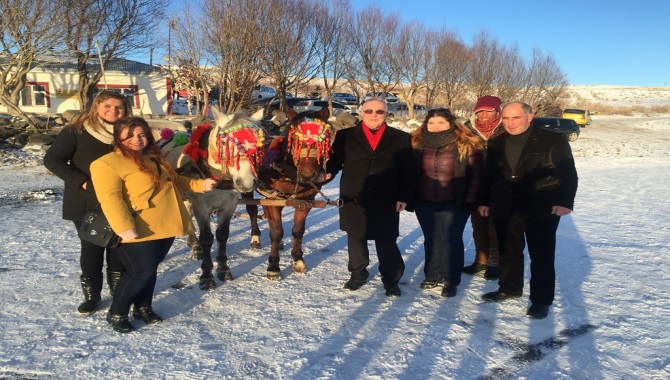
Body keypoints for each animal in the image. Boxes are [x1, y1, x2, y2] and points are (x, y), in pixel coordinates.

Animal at [253, 107, 334, 280]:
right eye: (295, 141)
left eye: (321, 142)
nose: (308, 175)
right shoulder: (274, 202)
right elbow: (276, 232)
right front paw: (273, 266)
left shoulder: (305, 202)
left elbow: (298, 231)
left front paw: (298, 260)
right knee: (252, 211)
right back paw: (255, 238)